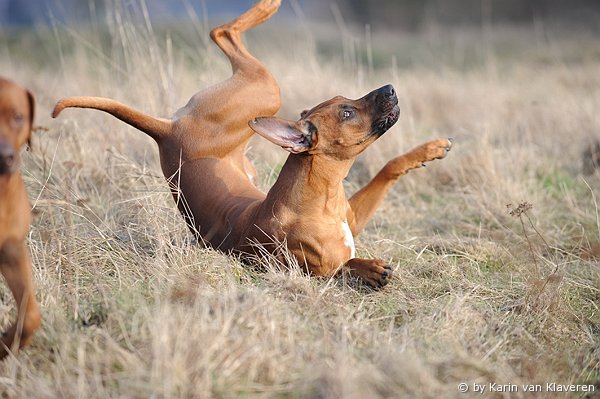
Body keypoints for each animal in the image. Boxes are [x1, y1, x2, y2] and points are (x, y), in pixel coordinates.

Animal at [54, 0, 452, 288]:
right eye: (346, 113)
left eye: (345, 100)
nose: (391, 88)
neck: (321, 195)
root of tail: (167, 131)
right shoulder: (304, 268)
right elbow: (340, 267)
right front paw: (368, 268)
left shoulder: (352, 217)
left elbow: (388, 168)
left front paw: (428, 149)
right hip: (262, 92)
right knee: (221, 31)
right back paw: (267, 5)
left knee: (223, 35)